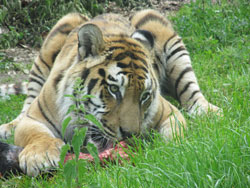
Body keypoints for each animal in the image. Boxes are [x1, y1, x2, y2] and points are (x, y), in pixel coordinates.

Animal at [0, 8, 219, 176]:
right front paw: (40, 157)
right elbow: (36, 135)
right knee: (26, 103)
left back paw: (207, 111)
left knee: (190, 88)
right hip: (56, 35)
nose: (130, 135)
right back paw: (8, 126)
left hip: (156, 23)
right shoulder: (35, 117)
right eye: (114, 89)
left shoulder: (169, 112)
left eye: (145, 96)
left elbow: (174, 135)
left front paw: (165, 150)